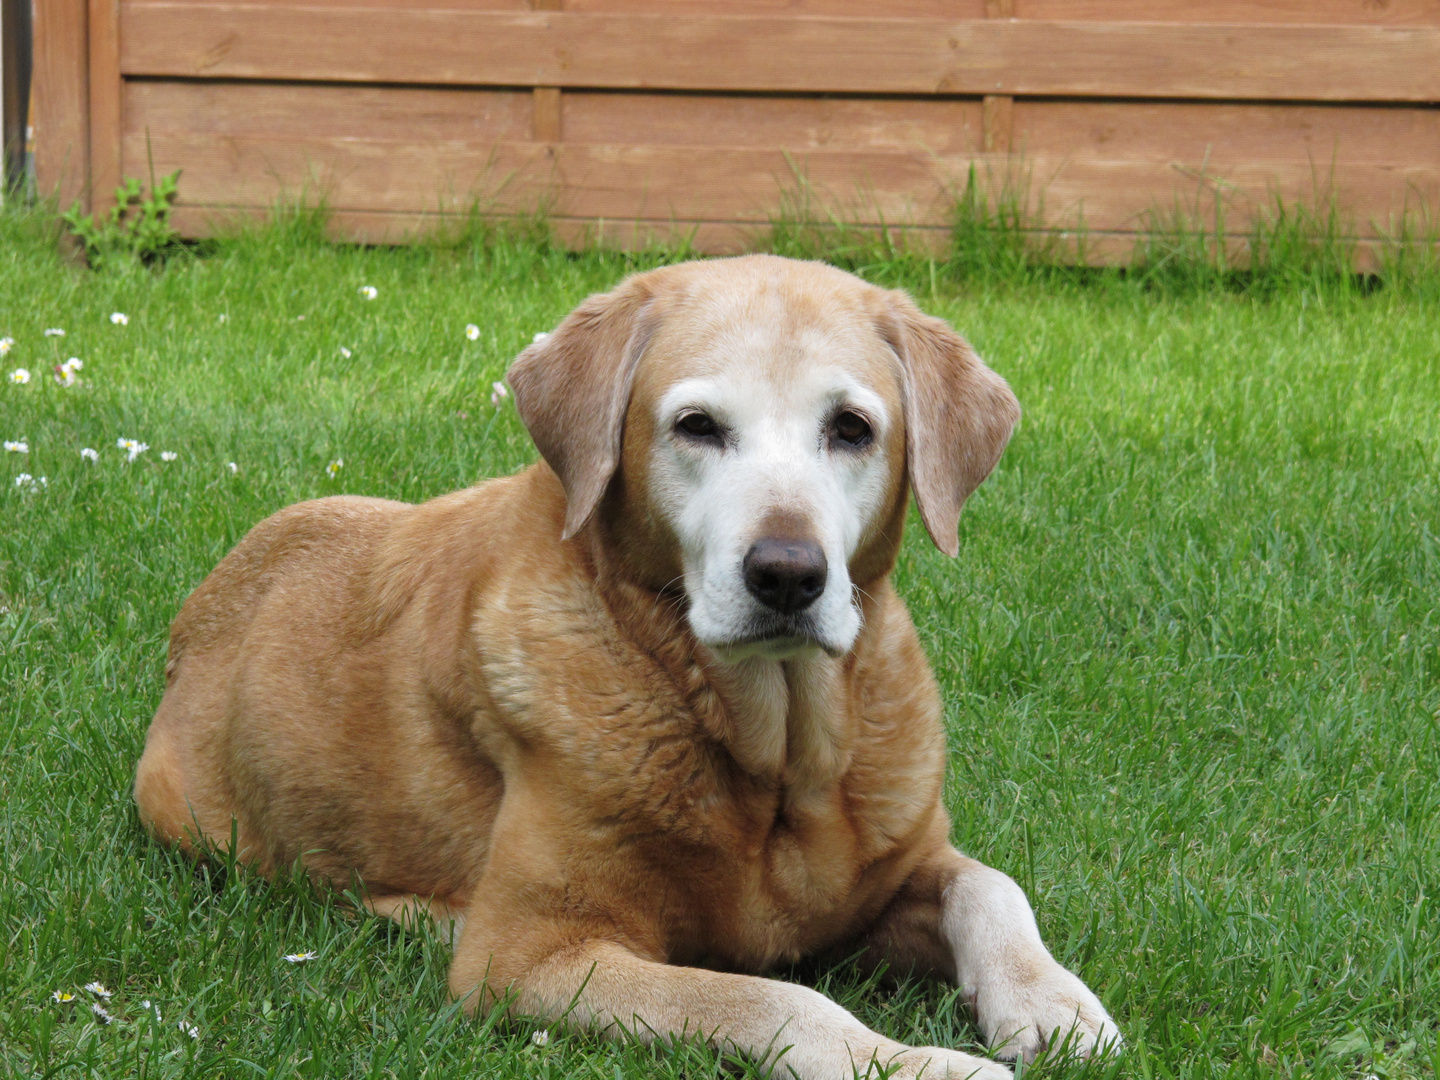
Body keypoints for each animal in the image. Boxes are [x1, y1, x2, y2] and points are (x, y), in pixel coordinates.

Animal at [135, 256, 1117, 1080]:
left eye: (851, 428)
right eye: (697, 427)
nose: (787, 574)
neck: (774, 755)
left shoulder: (904, 870)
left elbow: (991, 888)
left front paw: (1051, 1001)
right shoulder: (531, 956)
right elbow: (776, 999)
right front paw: (914, 1064)